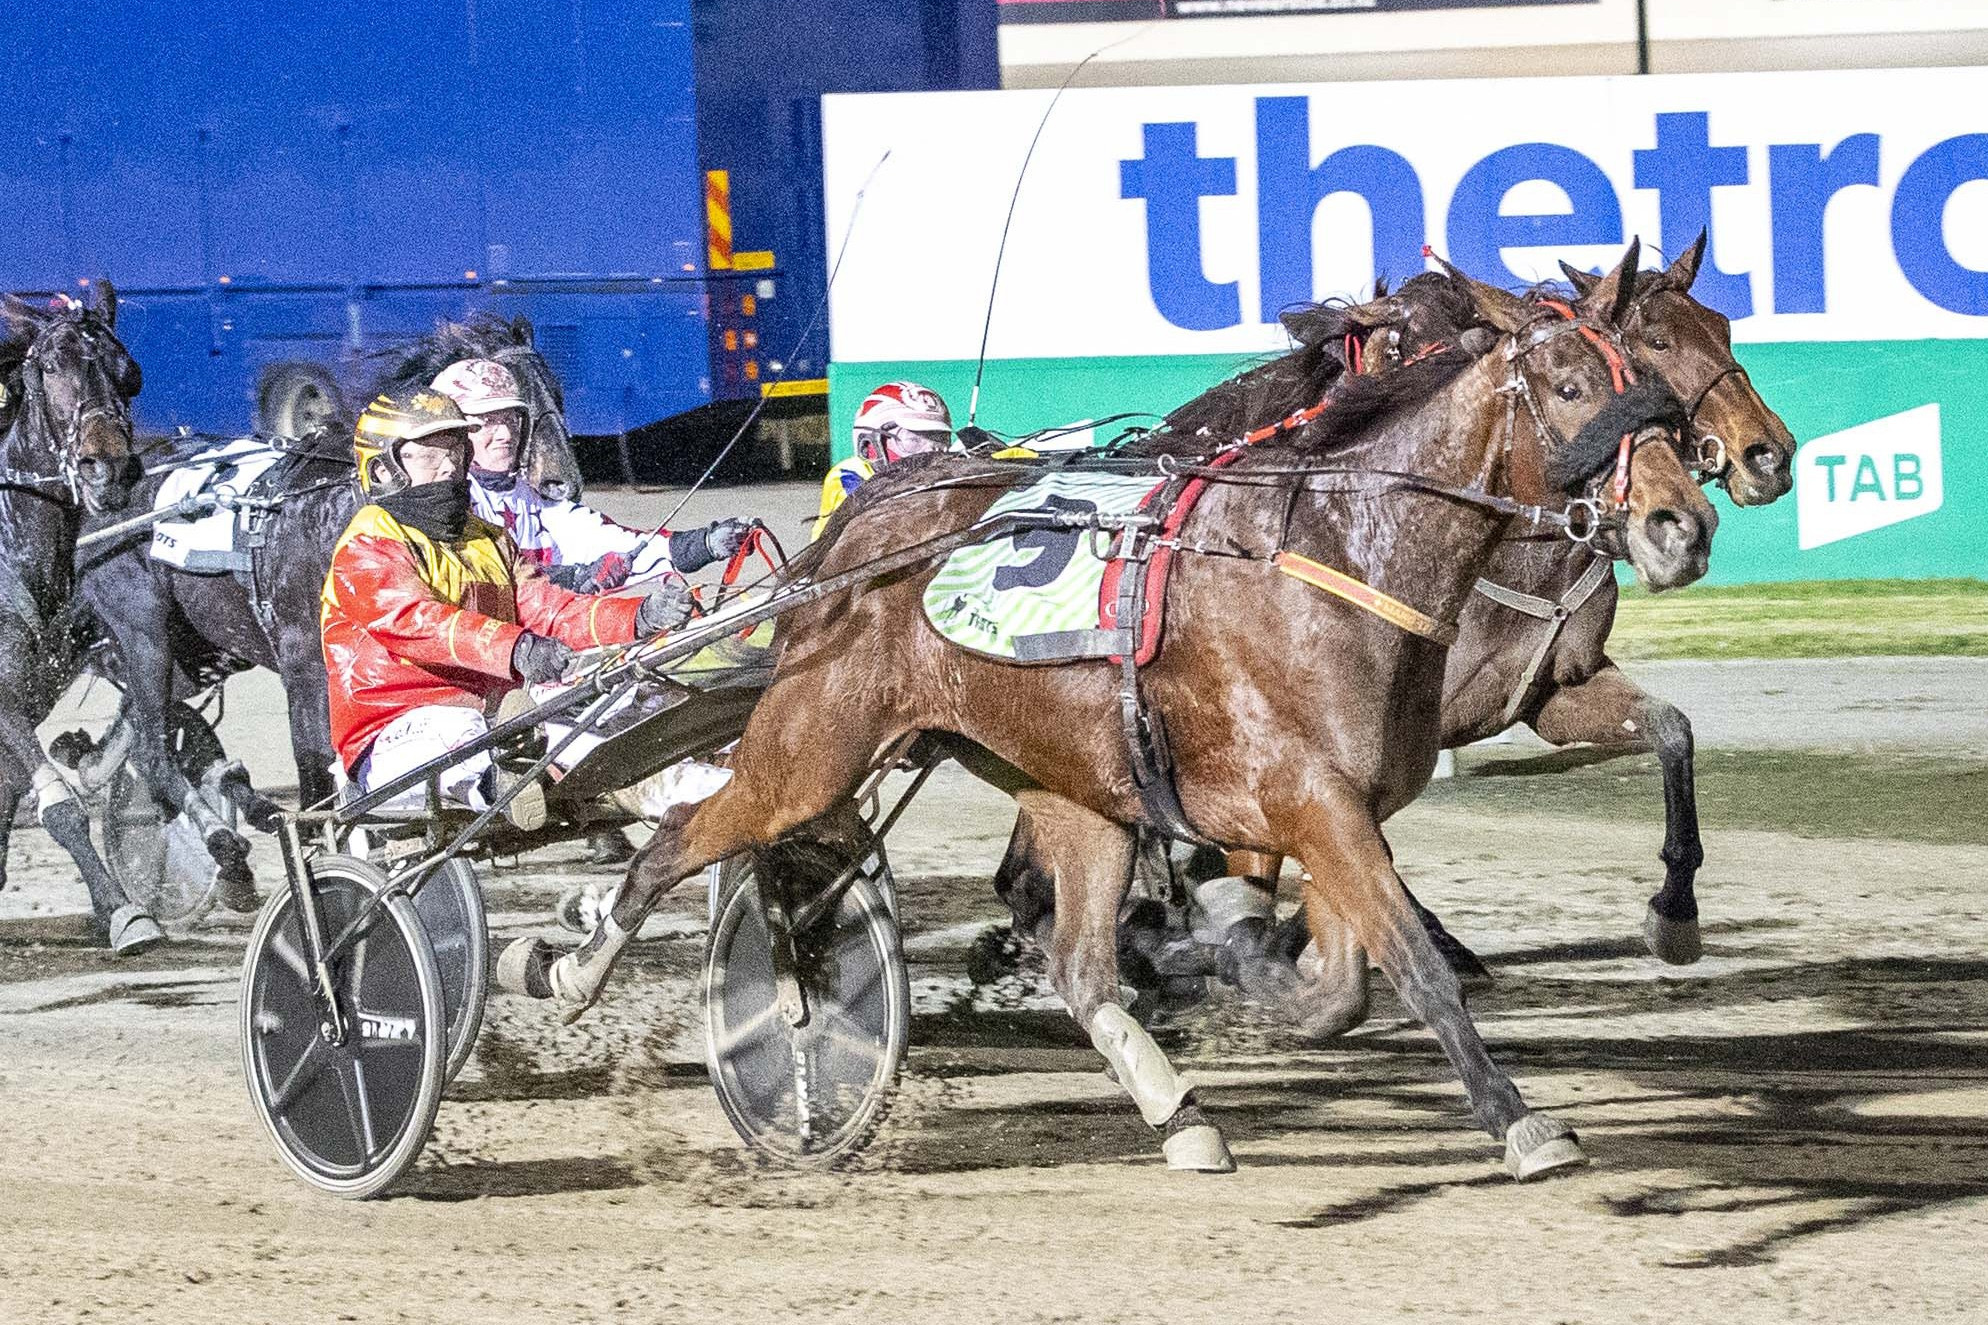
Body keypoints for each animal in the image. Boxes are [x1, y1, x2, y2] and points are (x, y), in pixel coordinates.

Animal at [504, 250, 1717, 1177]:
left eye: (1653, 372)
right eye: (1571, 386)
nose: (1683, 519)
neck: (1334, 553)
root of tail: (860, 529)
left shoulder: (1338, 807)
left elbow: (1341, 972)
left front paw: (1255, 977)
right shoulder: (1308, 801)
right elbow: (1403, 963)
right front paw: (1518, 1120)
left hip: (1065, 787)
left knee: (1077, 966)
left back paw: (1181, 1115)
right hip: (806, 752)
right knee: (677, 840)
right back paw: (573, 968)